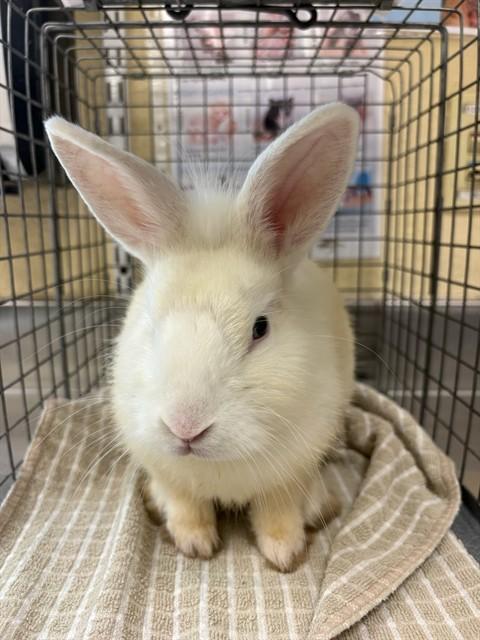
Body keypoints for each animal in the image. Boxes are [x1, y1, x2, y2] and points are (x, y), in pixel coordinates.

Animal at [45, 103, 359, 572]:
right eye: (151, 322)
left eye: (260, 328)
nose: (185, 427)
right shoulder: (168, 473)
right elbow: (185, 507)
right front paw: (195, 545)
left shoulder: (289, 473)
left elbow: (278, 513)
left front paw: (285, 554)